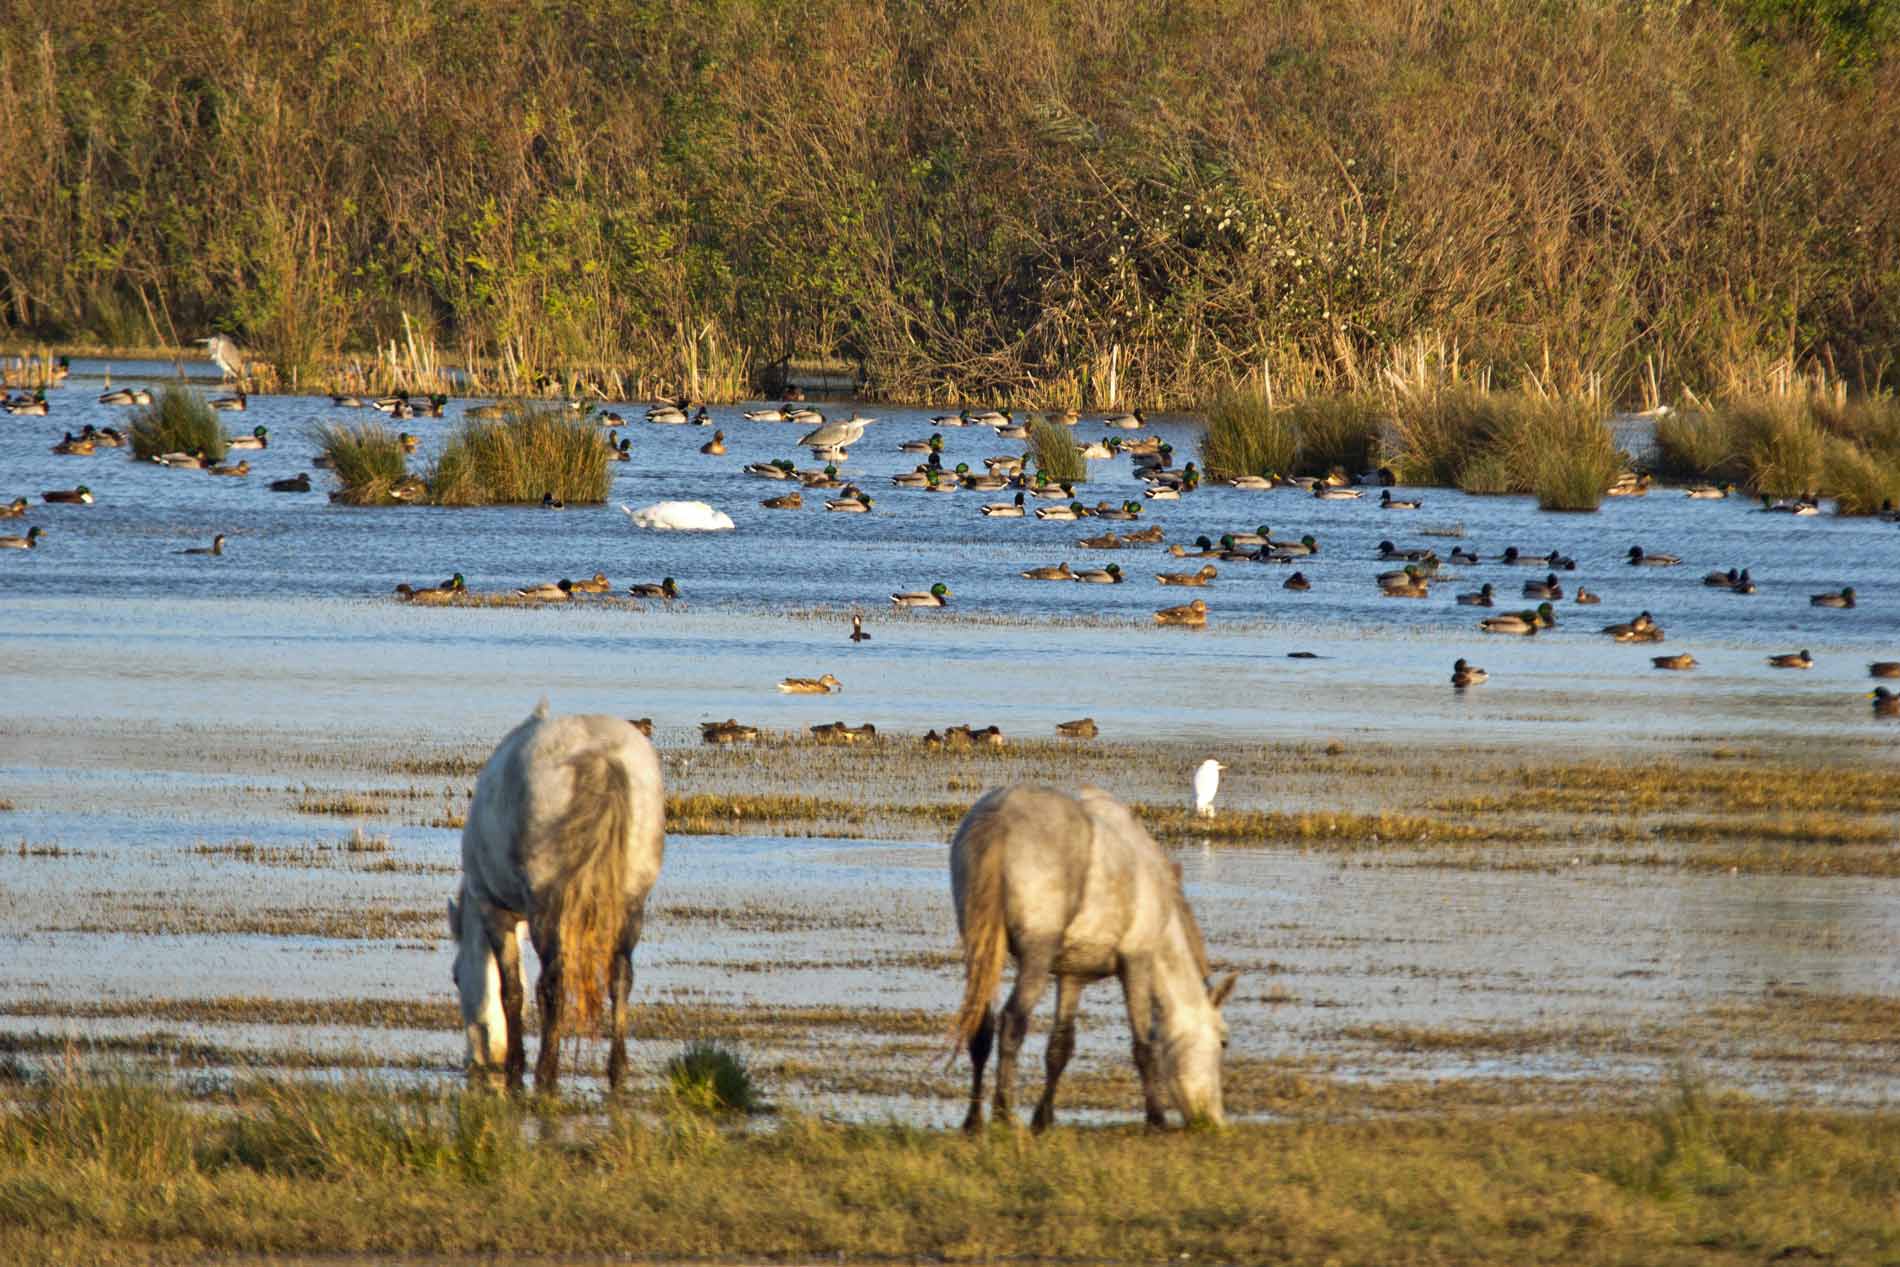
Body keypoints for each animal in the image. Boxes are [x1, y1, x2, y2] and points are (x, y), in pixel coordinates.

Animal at [448, 710, 665, 1094]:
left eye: (456, 977)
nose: (477, 1060)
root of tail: (600, 754)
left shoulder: (494, 910)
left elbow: (511, 990)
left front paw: (515, 1063)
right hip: (631, 906)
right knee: (621, 979)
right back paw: (617, 1070)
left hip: (547, 910)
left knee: (553, 986)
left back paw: (545, 1072)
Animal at [950, 782, 1246, 1132]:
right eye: (1224, 1041)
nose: (1214, 1121)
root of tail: (1000, 818)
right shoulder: (1136, 964)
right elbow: (1143, 1044)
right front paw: (1156, 1120)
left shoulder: (1071, 976)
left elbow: (1060, 1047)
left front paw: (1044, 1118)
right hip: (1036, 955)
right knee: (1012, 1022)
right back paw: (1003, 1115)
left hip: (981, 947)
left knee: (981, 1027)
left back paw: (973, 1120)